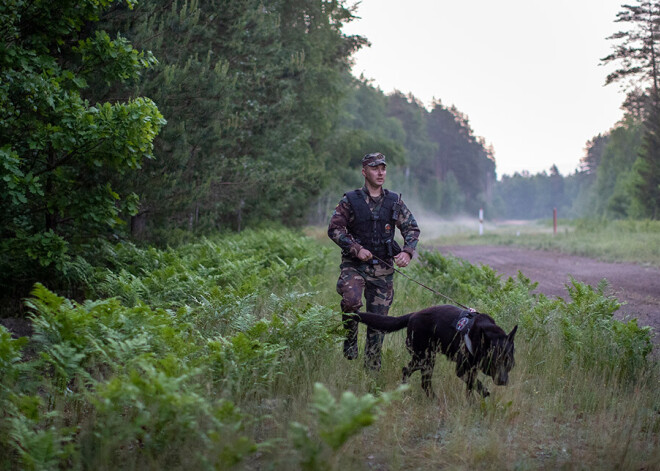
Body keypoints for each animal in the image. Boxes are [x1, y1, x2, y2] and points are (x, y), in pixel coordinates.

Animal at [354, 306, 520, 398]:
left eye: (508, 361)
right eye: (494, 361)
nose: (503, 381)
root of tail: (413, 315)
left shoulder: (471, 370)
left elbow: (470, 389)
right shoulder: (462, 370)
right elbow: (476, 385)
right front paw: (484, 393)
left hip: (424, 358)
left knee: (410, 372)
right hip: (425, 358)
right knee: (419, 378)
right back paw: (432, 398)